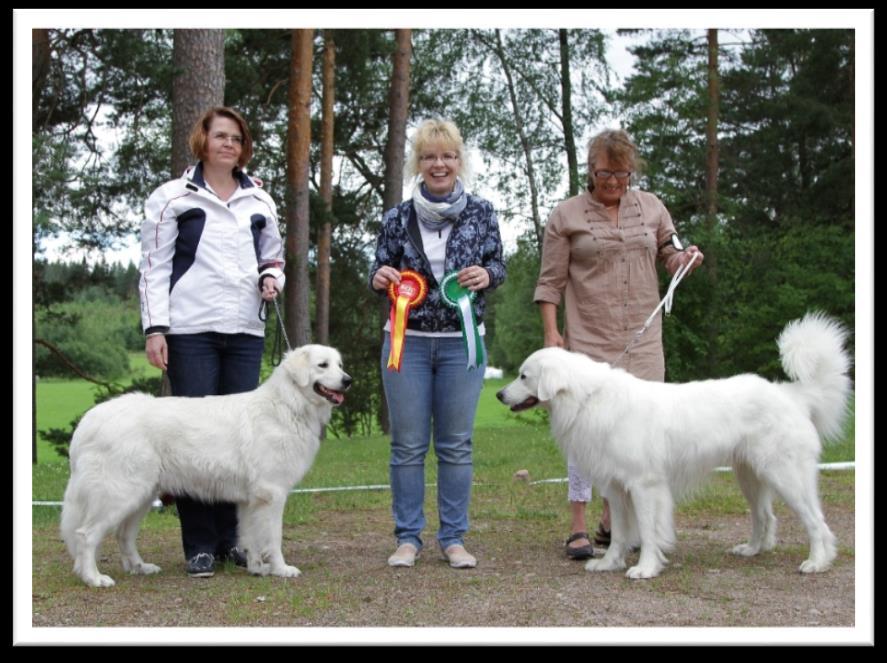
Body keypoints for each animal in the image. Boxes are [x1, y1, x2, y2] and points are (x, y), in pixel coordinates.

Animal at [60, 344, 352, 588]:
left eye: (340, 365)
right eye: (323, 365)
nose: (348, 381)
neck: (288, 405)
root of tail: (90, 420)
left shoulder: (251, 500)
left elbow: (250, 537)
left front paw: (257, 568)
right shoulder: (272, 494)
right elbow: (273, 538)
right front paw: (281, 569)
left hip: (141, 496)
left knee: (124, 535)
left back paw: (140, 568)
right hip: (119, 494)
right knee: (85, 535)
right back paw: (93, 578)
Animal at [500, 314, 852, 580]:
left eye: (523, 376)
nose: (499, 395)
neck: (588, 398)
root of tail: (791, 394)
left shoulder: (644, 485)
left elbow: (647, 529)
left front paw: (645, 568)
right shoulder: (616, 489)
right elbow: (620, 533)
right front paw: (610, 563)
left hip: (786, 476)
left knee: (816, 522)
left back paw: (817, 562)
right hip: (750, 476)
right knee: (765, 517)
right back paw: (752, 549)